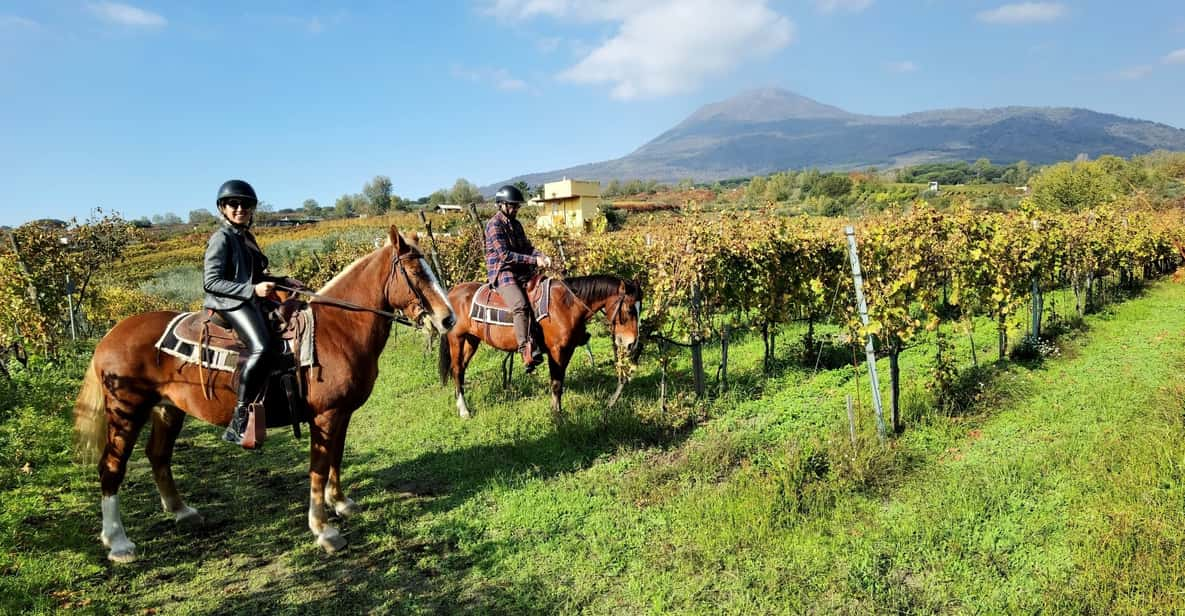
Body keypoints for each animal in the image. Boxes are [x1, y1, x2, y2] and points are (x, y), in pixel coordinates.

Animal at [72, 227, 452, 563]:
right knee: (112, 467)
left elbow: (336, 459)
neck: (336, 330)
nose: (448, 319)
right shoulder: (325, 416)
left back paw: (182, 512)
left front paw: (341, 504)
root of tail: (110, 336)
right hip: (126, 411)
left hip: (168, 410)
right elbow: (318, 467)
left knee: (158, 455)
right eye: (416, 272)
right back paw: (118, 542)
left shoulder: (342, 414)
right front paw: (323, 530)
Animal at [438, 274, 639, 419]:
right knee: (457, 369)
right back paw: (464, 411)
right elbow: (556, 384)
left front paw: (556, 411)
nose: (631, 343)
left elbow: (559, 383)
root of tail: (452, 293)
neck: (566, 305)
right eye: (629, 309)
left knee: (460, 370)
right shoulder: (556, 351)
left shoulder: (568, 351)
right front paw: (557, 417)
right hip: (456, 338)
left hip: (472, 340)